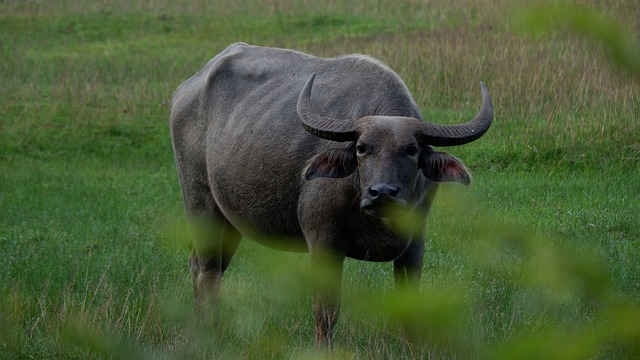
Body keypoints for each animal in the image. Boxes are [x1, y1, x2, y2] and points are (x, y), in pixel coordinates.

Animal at [169, 42, 490, 344]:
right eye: (361, 148)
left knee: (205, 265)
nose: (382, 193)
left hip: (230, 220)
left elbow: (411, 304)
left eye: (412, 150)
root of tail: (186, 89)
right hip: (199, 201)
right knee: (207, 269)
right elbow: (326, 309)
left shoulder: (415, 243)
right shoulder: (324, 240)